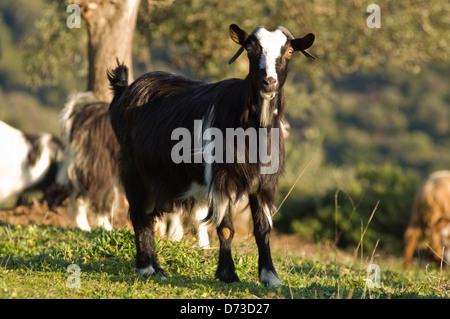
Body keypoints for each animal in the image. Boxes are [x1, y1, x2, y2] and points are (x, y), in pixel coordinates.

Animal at [107, 23, 314, 286]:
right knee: (140, 213)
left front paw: (270, 276)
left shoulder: (265, 181)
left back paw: (156, 266)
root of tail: (124, 90)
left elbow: (263, 229)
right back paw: (146, 267)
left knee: (150, 213)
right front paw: (227, 273)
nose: (269, 82)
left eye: (288, 52)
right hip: (135, 167)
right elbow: (226, 228)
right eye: (250, 49)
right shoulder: (220, 177)